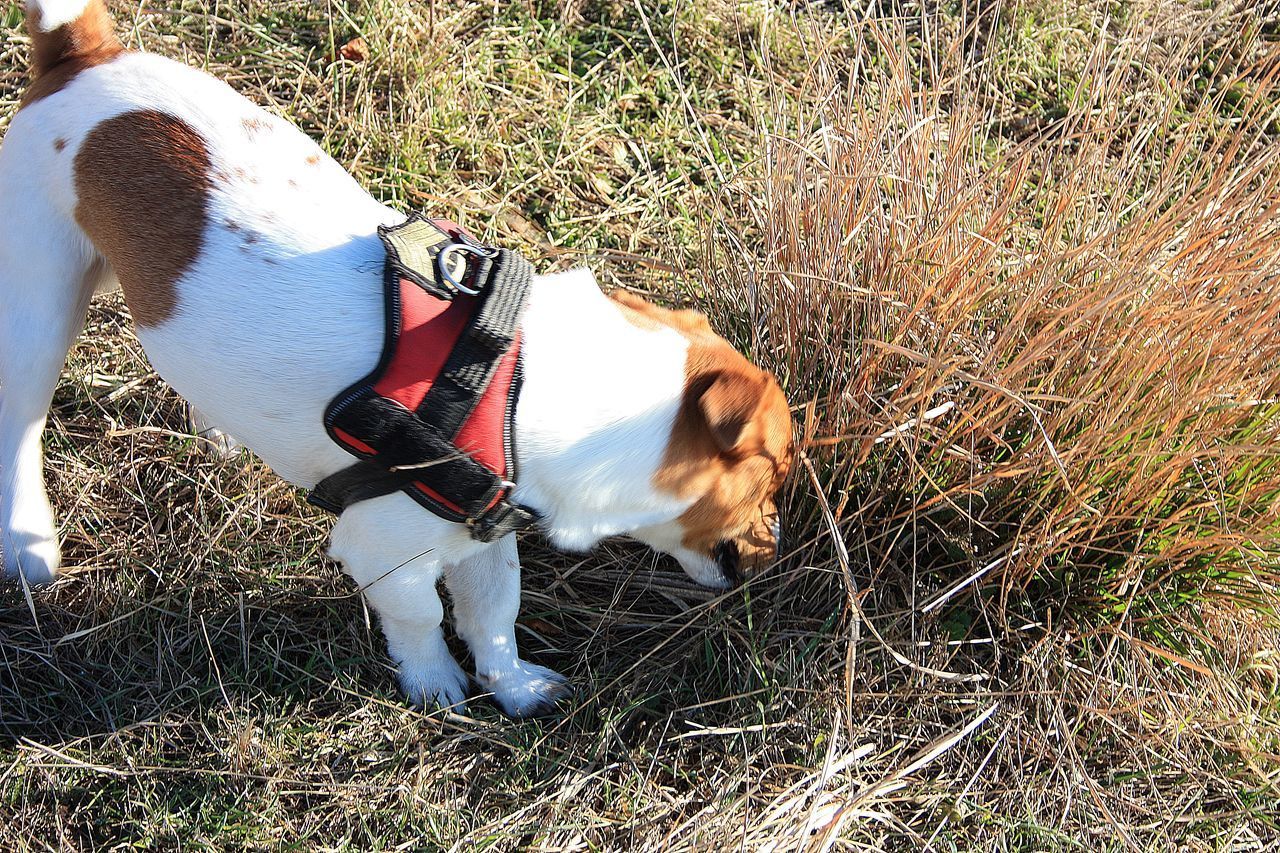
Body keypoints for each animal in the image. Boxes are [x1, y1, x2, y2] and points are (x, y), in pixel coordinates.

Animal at [0, 0, 793, 712]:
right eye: (776, 477)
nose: (777, 552)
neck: (507, 381)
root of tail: (82, 54)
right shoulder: (387, 552)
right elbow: (423, 619)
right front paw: (435, 685)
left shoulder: (483, 535)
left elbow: (494, 615)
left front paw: (513, 686)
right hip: (37, 308)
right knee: (21, 425)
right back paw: (28, 542)